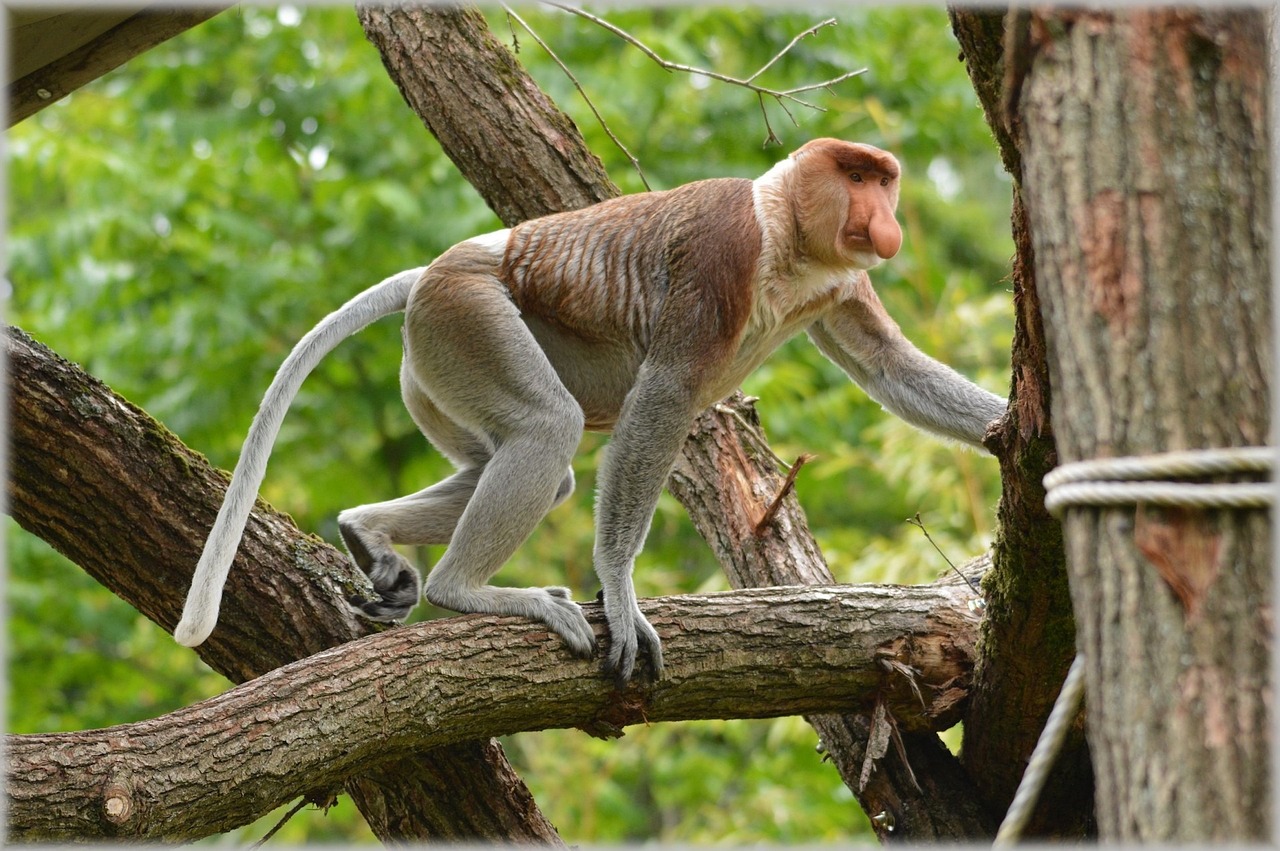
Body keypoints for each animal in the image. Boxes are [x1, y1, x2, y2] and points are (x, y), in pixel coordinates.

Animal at [172, 139, 1008, 685]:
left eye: (884, 179)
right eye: (856, 175)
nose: (883, 216)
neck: (784, 230)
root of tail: (437, 268)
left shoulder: (838, 285)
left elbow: (890, 367)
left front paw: (1007, 430)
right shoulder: (721, 249)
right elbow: (663, 396)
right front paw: (620, 589)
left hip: (433, 365)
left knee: (518, 464)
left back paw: (365, 531)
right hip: (466, 318)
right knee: (549, 431)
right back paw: (463, 590)